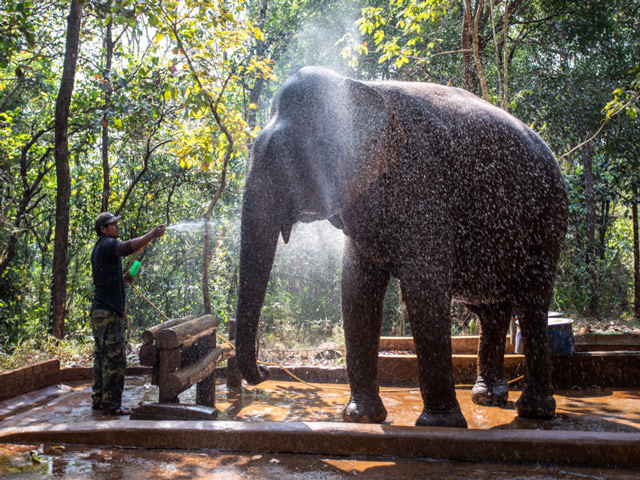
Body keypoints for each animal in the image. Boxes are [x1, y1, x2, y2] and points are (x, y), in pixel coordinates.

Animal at [235, 66, 568, 428]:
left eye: (286, 161)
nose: (264, 371)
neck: (359, 90)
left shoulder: (421, 181)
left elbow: (424, 287)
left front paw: (439, 425)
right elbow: (357, 288)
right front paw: (362, 419)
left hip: (547, 220)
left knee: (532, 303)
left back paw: (534, 411)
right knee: (490, 309)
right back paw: (488, 399)